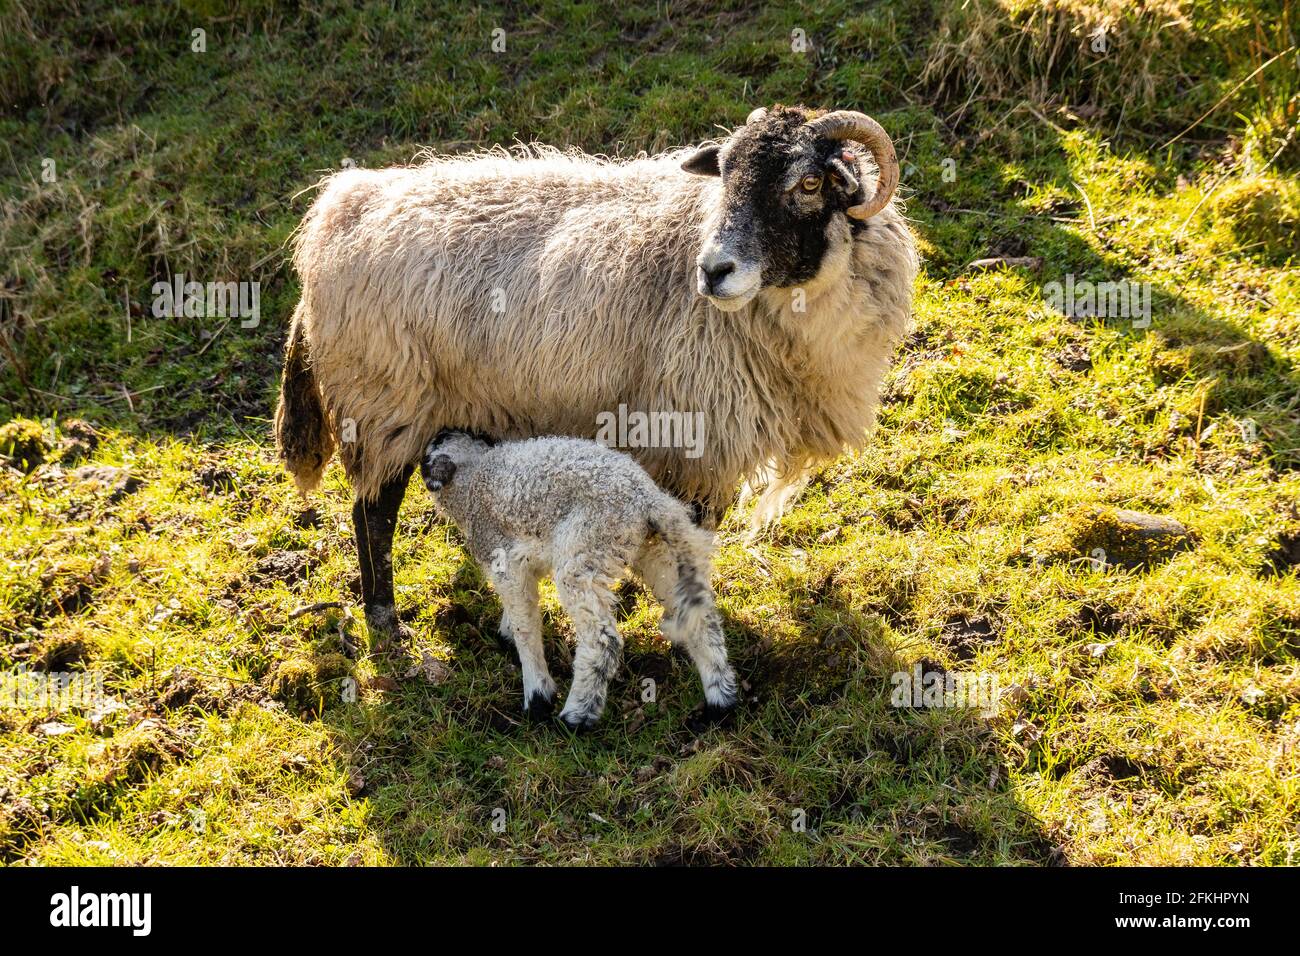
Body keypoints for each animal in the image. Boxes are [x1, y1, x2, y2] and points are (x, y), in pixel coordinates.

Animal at [275, 104, 918, 644]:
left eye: (808, 184)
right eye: (725, 177)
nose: (713, 271)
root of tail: (337, 212)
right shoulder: (695, 434)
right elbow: (693, 533)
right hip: (385, 400)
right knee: (372, 513)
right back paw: (385, 621)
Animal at [419, 430, 739, 729]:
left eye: (429, 453)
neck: (473, 477)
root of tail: (647, 501)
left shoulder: (503, 558)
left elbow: (526, 626)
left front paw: (538, 695)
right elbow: (524, 608)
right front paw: (506, 632)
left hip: (587, 551)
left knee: (603, 641)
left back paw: (576, 717)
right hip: (655, 553)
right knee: (703, 620)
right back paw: (720, 701)